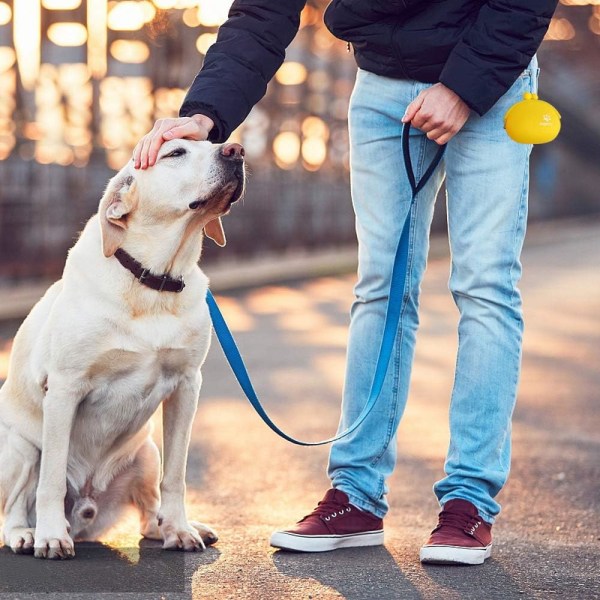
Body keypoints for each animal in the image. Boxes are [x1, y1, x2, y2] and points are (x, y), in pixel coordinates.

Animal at [0, 139, 245, 556]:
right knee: (14, 506)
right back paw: (27, 534)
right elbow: (51, 478)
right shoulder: (63, 388)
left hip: (146, 451)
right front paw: (51, 535)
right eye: (175, 152)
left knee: (148, 514)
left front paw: (180, 529)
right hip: (18, 447)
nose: (237, 150)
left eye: (211, 142)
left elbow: (175, 477)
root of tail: (86, 510)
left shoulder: (186, 386)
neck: (154, 281)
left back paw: (168, 527)